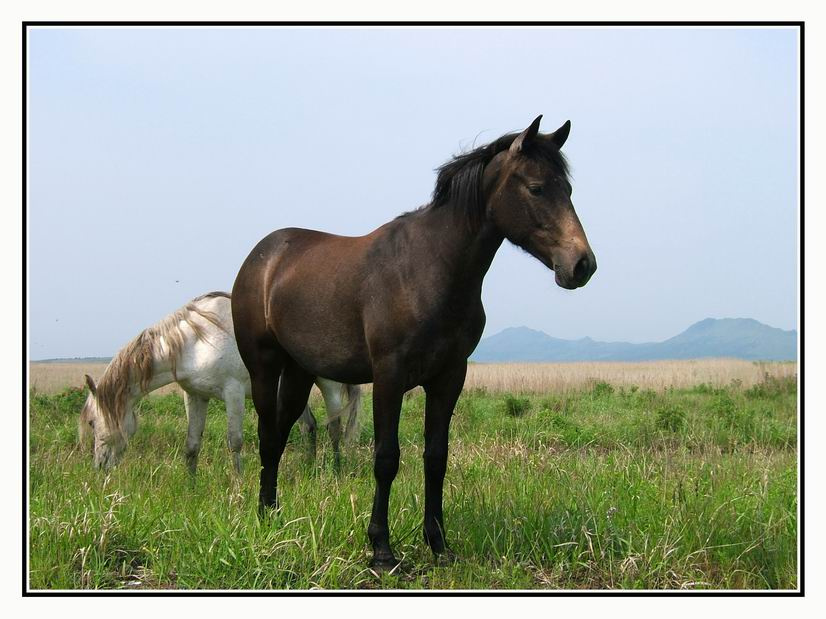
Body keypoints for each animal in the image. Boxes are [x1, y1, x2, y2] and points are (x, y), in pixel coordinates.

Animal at [79, 291, 361, 474]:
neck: (196, 342)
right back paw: (307, 469)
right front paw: (190, 488)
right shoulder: (195, 396)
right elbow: (192, 445)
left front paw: (238, 487)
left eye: (92, 422)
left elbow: (234, 441)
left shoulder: (233, 393)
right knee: (309, 426)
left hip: (328, 384)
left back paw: (336, 472)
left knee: (334, 427)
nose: (98, 467)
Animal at [231, 116, 596, 569]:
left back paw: (275, 514)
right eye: (536, 188)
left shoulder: (449, 377)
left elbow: (436, 457)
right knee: (267, 434)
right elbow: (387, 458)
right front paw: (381, 549)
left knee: (280, 435)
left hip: (300, 372)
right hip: (263, 366)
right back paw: (264, 517)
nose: (582, 265)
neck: (431, 268)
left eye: (568, 190)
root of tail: (263, 256)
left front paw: (438, 543)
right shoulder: (389, 376)